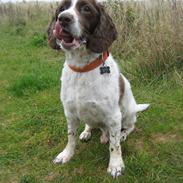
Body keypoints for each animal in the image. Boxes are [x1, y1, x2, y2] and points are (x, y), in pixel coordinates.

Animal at [46, 0, 149, 177]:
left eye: (86, 9)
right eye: (62, 9)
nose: (63, 18)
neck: (81, 69)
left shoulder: (114, 116)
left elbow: (114, 145)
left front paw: (115, 165)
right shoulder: (70, 112)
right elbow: (70, 137)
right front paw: (66, 155)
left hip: (128, 112)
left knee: (129, 127)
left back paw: (122, 135)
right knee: (91, 125)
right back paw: (87, 132)